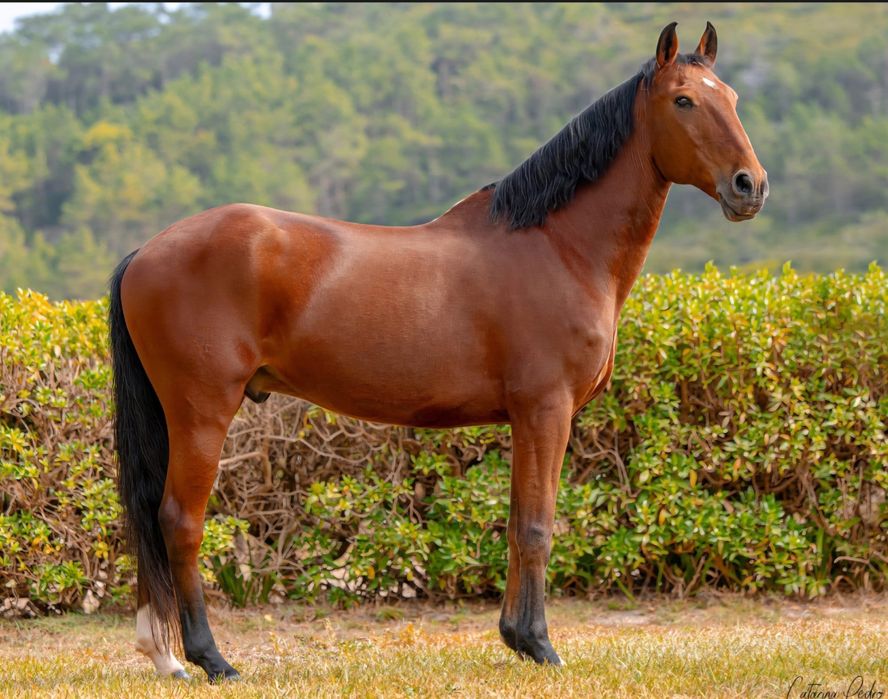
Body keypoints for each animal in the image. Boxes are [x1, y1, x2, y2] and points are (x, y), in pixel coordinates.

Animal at [109, 21, 767, 681]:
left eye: (734, 97)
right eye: (683, 101)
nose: (750, 186)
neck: (557, 247)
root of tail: (145, 252)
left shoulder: (527, 419)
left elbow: (515, 522)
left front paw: (515, 638)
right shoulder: (546, 410)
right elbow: (537, 527)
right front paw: (540, 645)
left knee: (148, 515)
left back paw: (164, 655)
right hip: (202, 411)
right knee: (179, 520)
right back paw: (210, 659)